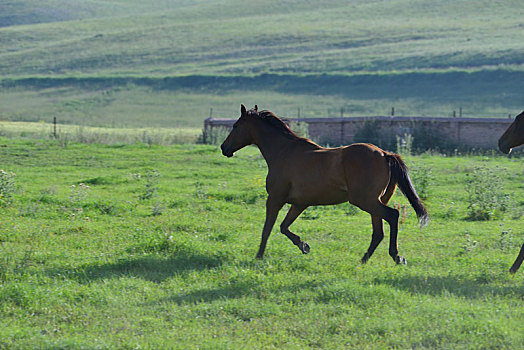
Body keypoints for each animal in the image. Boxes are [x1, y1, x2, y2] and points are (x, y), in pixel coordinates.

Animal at [219, 105, 428, 264]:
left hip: (365, 201)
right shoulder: (300, 203)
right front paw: (304, 246)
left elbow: (268, 229)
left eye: (236, 126)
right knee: (378, 232)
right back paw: (363, 260)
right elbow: (284, 227)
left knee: (392, 216)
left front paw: (259, 256)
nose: (223, 148)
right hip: (376, 201)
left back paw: (396, 256)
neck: (284, 152)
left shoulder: (275, 199)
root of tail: (385, 154)